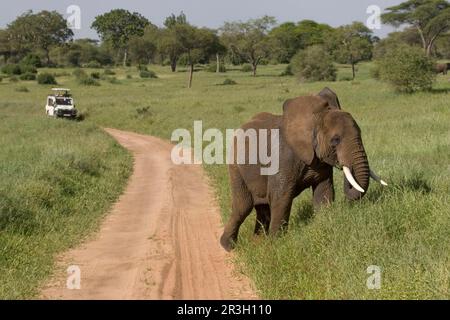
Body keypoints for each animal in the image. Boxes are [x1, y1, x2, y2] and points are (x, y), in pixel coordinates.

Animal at [221, 87, 386, 250]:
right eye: (335, 140)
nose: (344, 165)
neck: (315, 119)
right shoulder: (282, 158)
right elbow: (281, 197)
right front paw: (277, 245)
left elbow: (324, 192)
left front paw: (323, 226)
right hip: (235, 168)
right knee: (243, 206)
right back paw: (229, 247)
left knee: (262, 208)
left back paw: (257, 243)